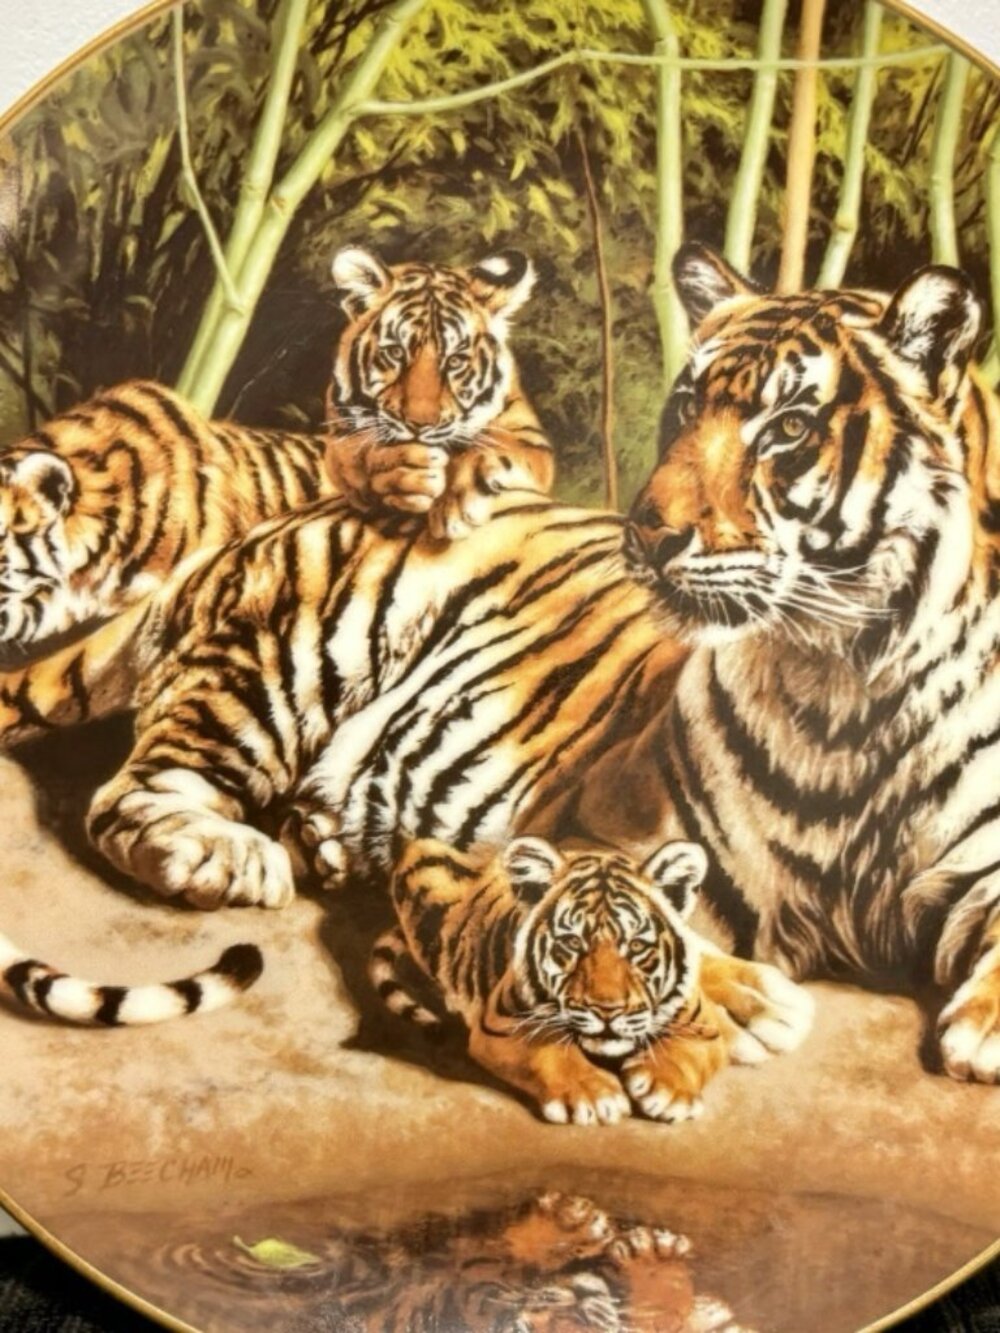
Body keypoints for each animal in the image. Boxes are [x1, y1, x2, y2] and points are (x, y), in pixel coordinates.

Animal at [371, 835, 729, 1125]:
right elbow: (548, 1050)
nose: (607, 1011)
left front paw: (669, 1090)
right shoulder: (501, 1023)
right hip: (425, 859)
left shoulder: (705, 1023)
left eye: (637, 946)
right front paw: (593, 1094)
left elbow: (689, 1051)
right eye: (572, 942)